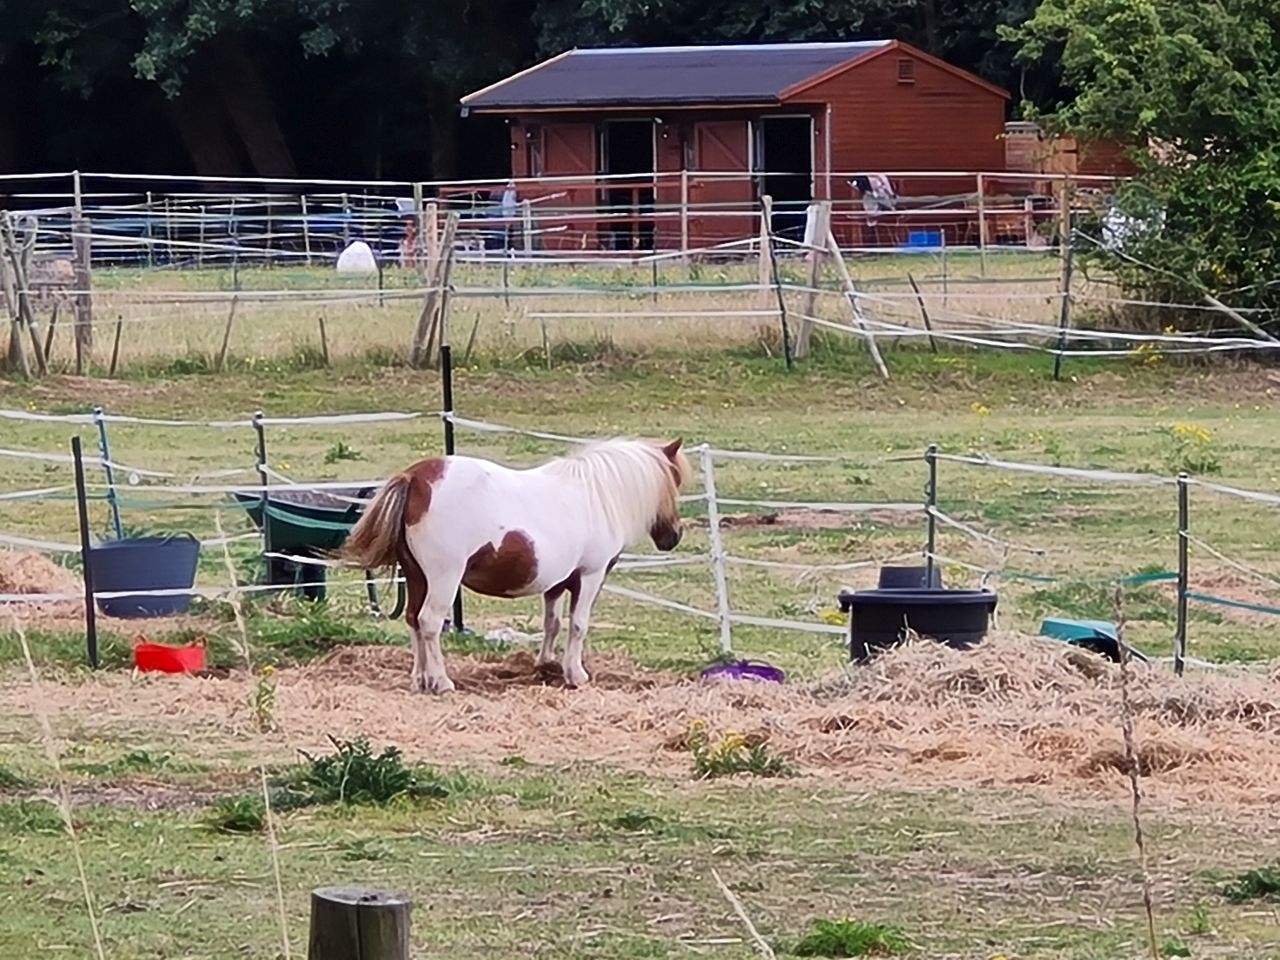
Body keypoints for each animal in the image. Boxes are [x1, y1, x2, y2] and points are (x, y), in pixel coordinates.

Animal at [340, 440, 691, 696]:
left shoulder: (556, 584)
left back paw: (421, 680)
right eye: (674, 483)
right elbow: (578, 625)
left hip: (415, 577)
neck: (596, 495)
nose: (673, 537)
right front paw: (575, 674)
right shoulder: (590, 576)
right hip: (443, 578)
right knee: (428, 622)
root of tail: (416, 478)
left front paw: (546, 666)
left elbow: (552, 624)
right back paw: (442, 682)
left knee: (413, 620)